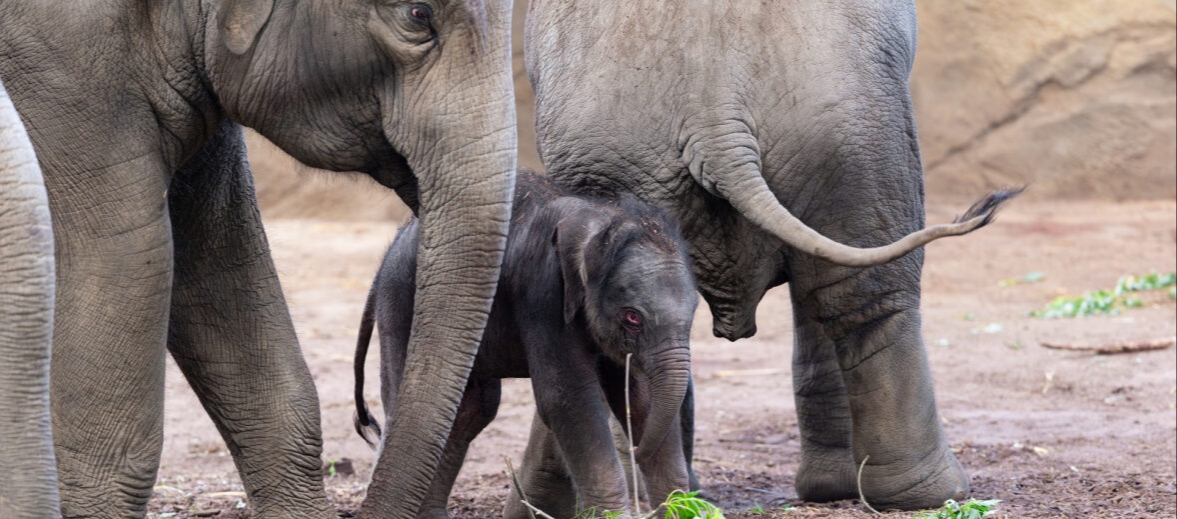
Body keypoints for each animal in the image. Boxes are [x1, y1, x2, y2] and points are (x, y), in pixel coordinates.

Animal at [348, 170, 696, 517]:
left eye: (693, 313)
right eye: (632, 317)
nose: (636, 450)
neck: (602, 218)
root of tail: (392, 245)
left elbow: (641, 397)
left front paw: (683, 507)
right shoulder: (543, 295)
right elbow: (567, 399)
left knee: (471, 410)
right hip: (401, 304)